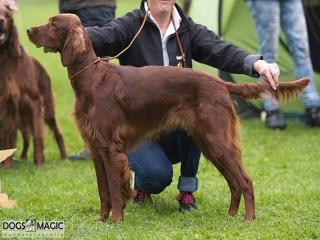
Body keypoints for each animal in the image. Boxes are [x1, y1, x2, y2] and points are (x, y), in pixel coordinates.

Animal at [0, 1, 66, 169]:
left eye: (7, 14)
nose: (1, 21)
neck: (6, 58)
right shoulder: (7, 105)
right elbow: (8, 136)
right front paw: (7, 167)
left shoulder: (34, 101)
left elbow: (37, 135)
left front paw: (39, 163)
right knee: (25, 136)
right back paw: (22, 157)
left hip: (47, 109)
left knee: (57, 132)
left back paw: (64, 157)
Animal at [28, 14, 308, 222]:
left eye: (53, 23)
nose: (29, 29)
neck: (91, 78)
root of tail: (220, 83)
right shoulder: (96, 149)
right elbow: (103, 190)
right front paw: (101, 219)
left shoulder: (110, 148)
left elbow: (115, 191)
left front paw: (116, 220)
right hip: (209, 143)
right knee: (234, 182)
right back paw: (230, 215)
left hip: (216, 140)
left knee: (245, 181)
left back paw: (248, 219)